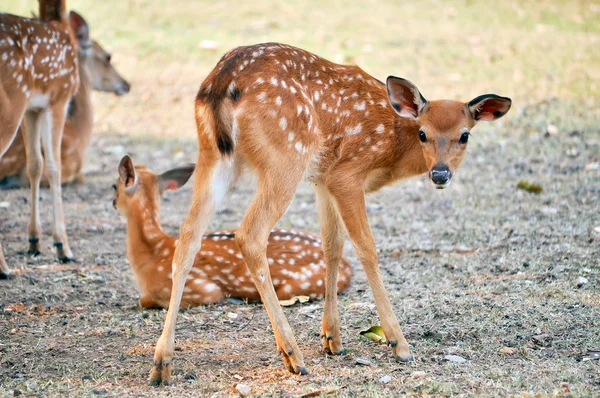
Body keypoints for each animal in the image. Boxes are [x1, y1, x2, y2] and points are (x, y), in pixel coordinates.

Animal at [0, 0, 86, 280]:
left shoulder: (32, 107)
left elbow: (35, 165)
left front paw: (34, 241)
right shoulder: (58, 97)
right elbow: (54, 166)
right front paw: (63, 247)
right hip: (9, 106)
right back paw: (4, 268)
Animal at [112, 155, 352, 308]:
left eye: (114, 186)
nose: (113, 202)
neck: (153, 252)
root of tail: (348, 267)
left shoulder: (200, 288)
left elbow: (144, 299)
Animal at [150, 42, 510, 384]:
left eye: (464, 135)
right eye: (423, 133)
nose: (440, 174)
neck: (393, 144)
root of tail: (223, 82)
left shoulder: (323, 179)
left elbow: (332, 245)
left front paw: (332, 339)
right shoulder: (346, 174)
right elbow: (366, 247)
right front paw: (398, 343)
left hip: (213, 155)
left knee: (188, 234)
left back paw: (162, 363)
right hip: (286, 156)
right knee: (249, 234)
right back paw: (293, 355)